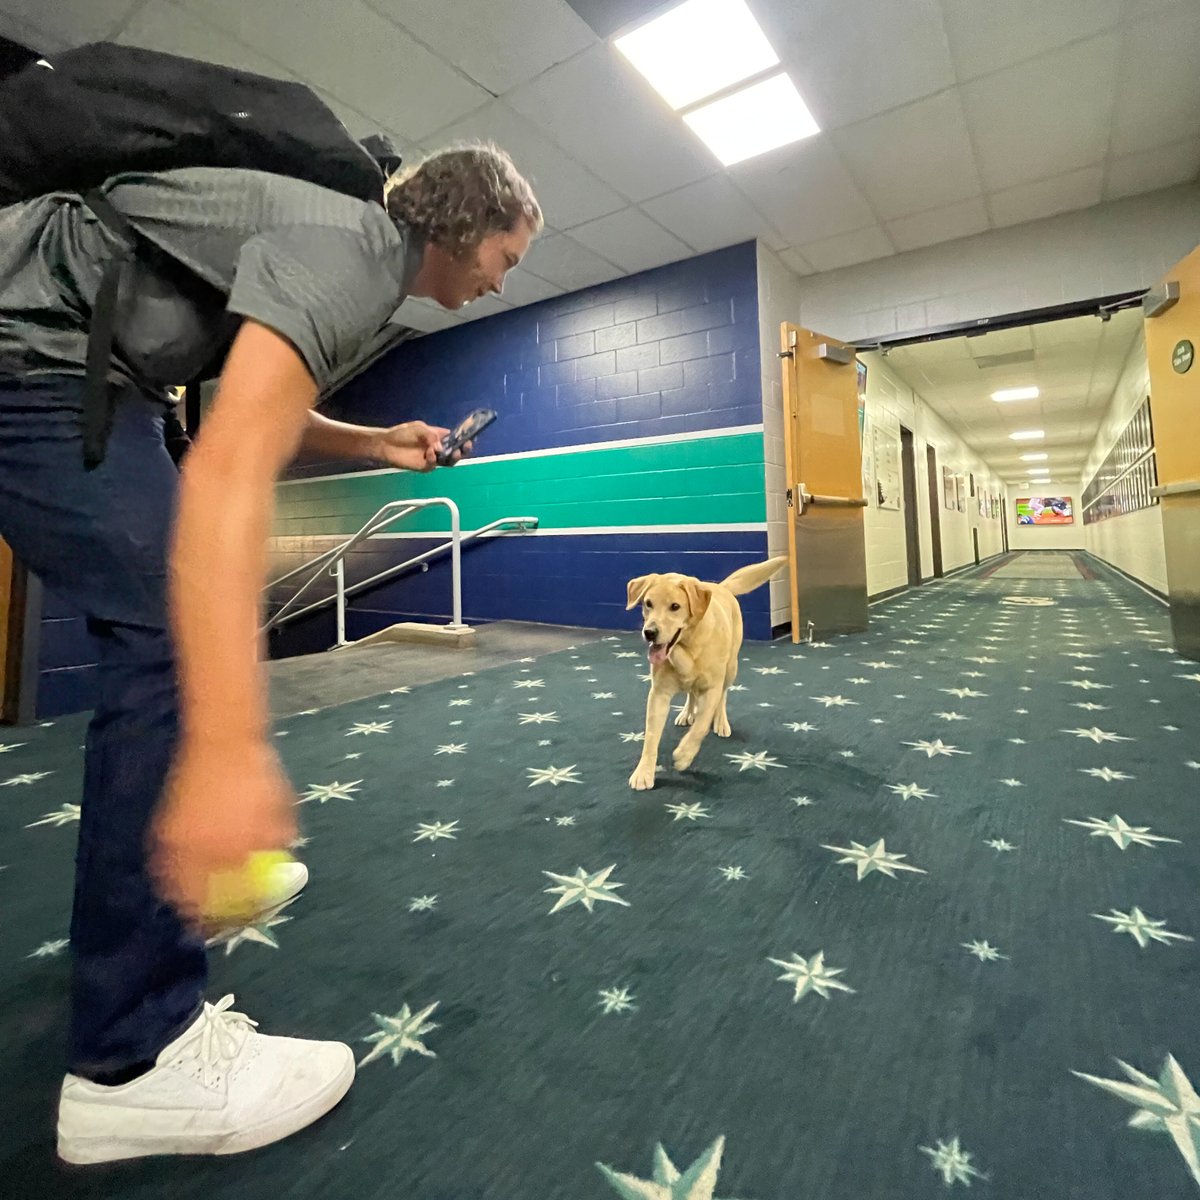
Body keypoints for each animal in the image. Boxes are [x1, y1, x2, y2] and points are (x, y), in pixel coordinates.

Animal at [628, 556, 787, 792]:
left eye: (675, 606)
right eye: (648, 603)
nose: (649, 632)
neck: (687, 648)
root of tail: (722, 587)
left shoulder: (711, 688)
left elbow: (701, 726)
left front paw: (684, 755)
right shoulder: (658, 693)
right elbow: (651, 736)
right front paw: (644, 772)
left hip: (731, 668)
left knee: (723, 696)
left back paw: (721, 722)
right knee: (690, 693)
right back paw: (686, 713)